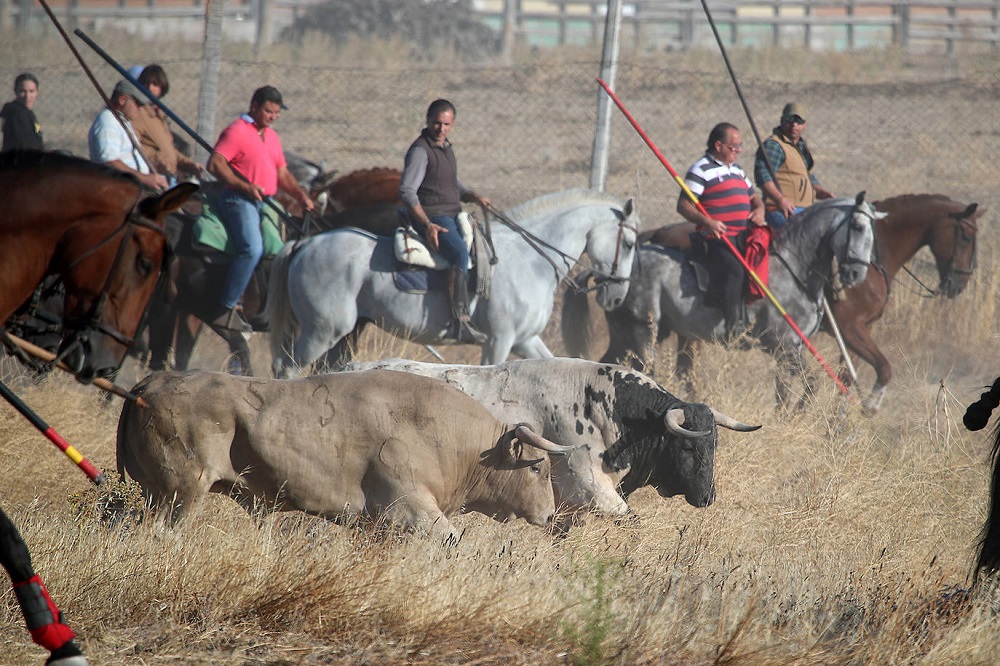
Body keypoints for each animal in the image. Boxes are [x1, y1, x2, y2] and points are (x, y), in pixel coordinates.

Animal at [268, 187, 640, 376]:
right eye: (630, 243)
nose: (617, 297)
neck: (529, 259)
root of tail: (306, 244)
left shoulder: (525, 340)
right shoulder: (499, 341)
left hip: (341, 333)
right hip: (323, 330)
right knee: (287, 369)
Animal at [564, 195, 876, 408]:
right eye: (857, 226)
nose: (856, 273)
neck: (793, 267)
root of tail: (611, 274)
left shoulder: (788, 349)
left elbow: (786, 391)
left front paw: (786, 417)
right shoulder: (786, 344)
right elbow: (810, 385)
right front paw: (797, 412)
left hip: (628, 335)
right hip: (643, 334)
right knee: (643, 373)